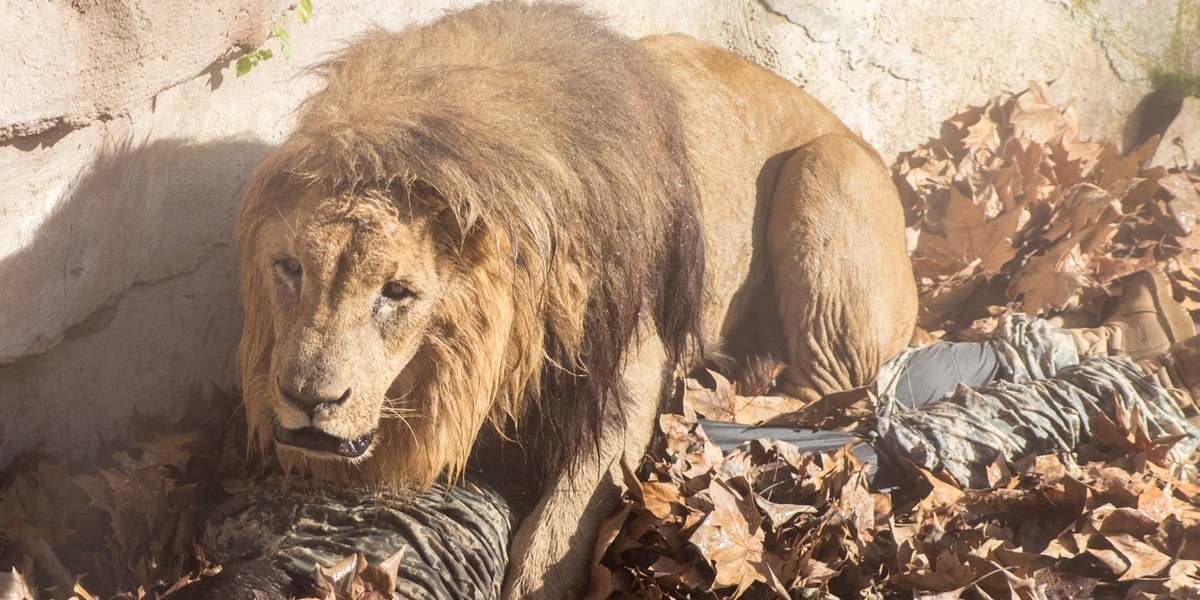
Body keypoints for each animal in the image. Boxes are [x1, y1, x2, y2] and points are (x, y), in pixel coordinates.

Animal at [234, 2, 916, 597]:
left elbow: (563, 520)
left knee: (832, 395)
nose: (306, 400)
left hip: (827, 167)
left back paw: (710, 404)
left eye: (397, 292)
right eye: (290, 269)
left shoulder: (629, 369)